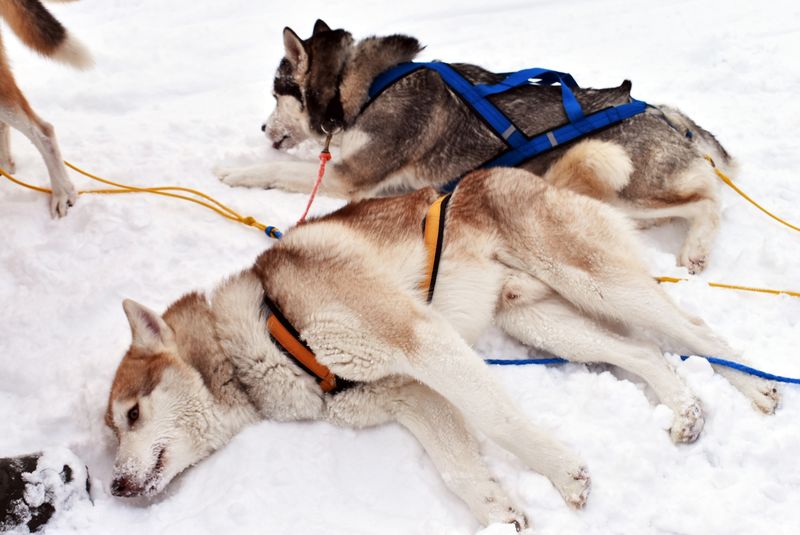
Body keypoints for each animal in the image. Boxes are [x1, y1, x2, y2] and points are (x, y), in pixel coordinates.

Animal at [106, 143, 776, 532]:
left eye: (133, 414)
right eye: (111, 429)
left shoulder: (421, 340)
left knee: (698, 331)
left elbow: (498, 418)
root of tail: (538, 178)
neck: (265, 333)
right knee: (643, 351)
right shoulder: (409, 394)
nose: (113, 483)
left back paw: (759, 389)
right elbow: (457, 465)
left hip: (596, 282)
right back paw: (686, 411)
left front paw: (563, 473)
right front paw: (498, 512)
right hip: (545, 321)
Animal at [216, 19, 736, 276]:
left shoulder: (351, 177)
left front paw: (236, 171)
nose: (262, 127)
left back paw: (695, 252)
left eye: (276, 93)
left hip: (628, 187)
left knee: (709, 199)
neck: (365, 87)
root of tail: (654, 110)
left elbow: (281, 172)